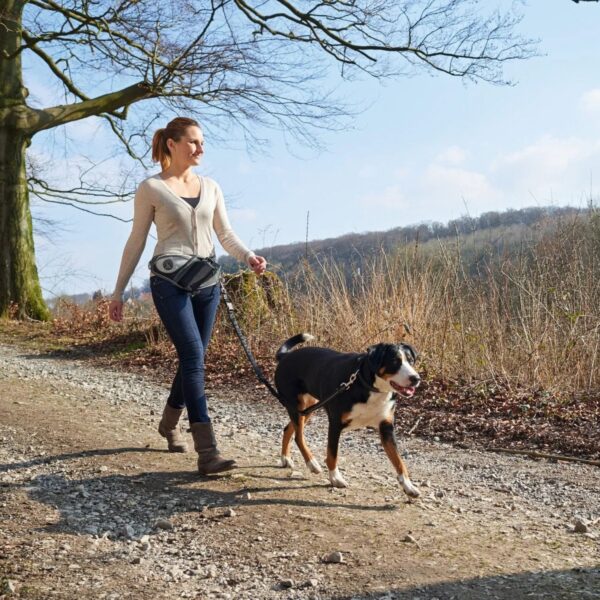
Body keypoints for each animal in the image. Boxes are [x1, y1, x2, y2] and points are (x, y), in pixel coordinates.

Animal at [274, 333, 422, 498]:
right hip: (296, 406)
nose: (416, 378)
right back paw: (312, 463)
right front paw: (335, 478)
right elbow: (332, 454)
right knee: (299, 437)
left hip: (308, 408)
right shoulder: (335, 424)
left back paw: (286, 458)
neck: (368, 386)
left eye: (411, 360)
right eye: (395, 361)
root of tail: (285, 356)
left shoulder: (386, 427)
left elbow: (399, 461)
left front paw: (408, 486)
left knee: (288, 429)